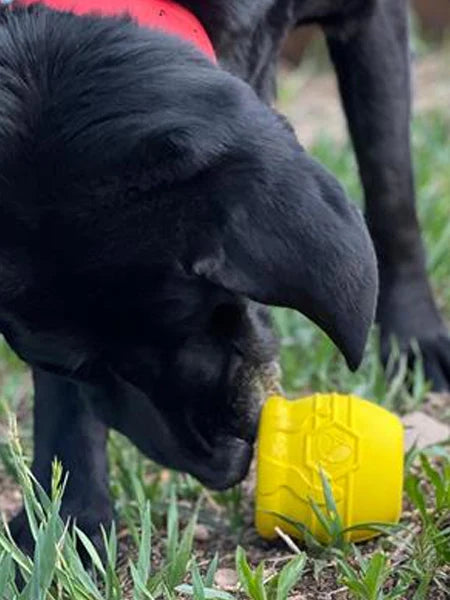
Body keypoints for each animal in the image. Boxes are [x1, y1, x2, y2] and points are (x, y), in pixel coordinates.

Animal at [0, 0, 446, 556]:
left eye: (206, 309)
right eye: (81, 369)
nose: (220, 468)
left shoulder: (373, 19)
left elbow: (390, 183)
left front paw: (414, 342)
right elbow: (62, 398)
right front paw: (69, 514)